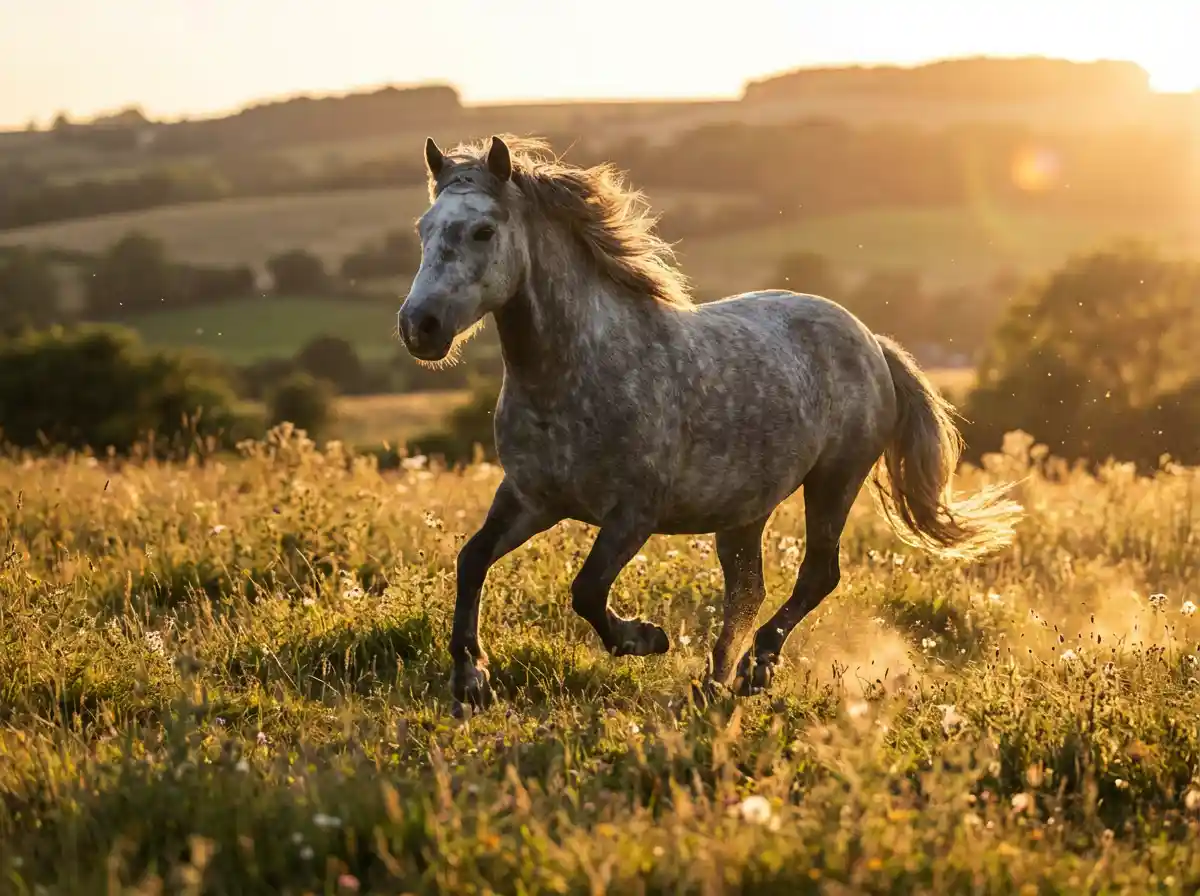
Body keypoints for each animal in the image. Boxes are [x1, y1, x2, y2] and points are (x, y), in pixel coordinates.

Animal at [396, 134, 1023, 713]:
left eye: (483, 232)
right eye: (424, 229)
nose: (419, 327)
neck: (576, 371)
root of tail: (871, 340)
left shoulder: (633, 513)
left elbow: (587, 589)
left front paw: (645, 638)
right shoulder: (531, 498)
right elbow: (472, 560)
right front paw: (470, 681)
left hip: (834, 481)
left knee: (817, 575)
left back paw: (752, 669)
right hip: (744, 511)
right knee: (748, 587)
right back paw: (717, 679)